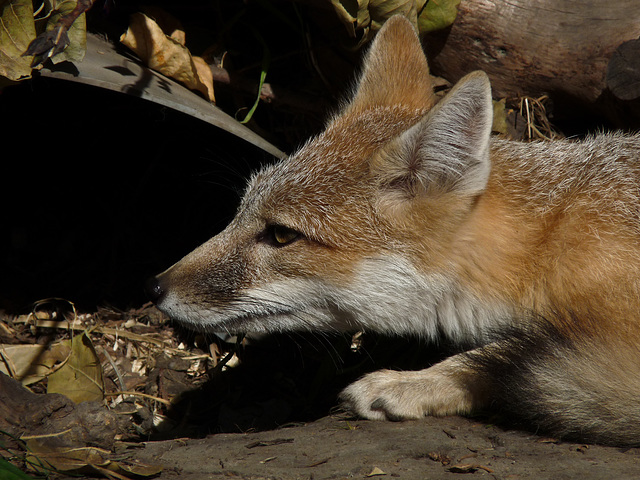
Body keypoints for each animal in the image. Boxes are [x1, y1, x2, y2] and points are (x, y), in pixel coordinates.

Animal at [148, 15, 640, 446]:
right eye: (242, 211)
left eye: (282, 235)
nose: (154, 288)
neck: (549, 241)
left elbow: (495, 354)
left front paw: (411, 383)